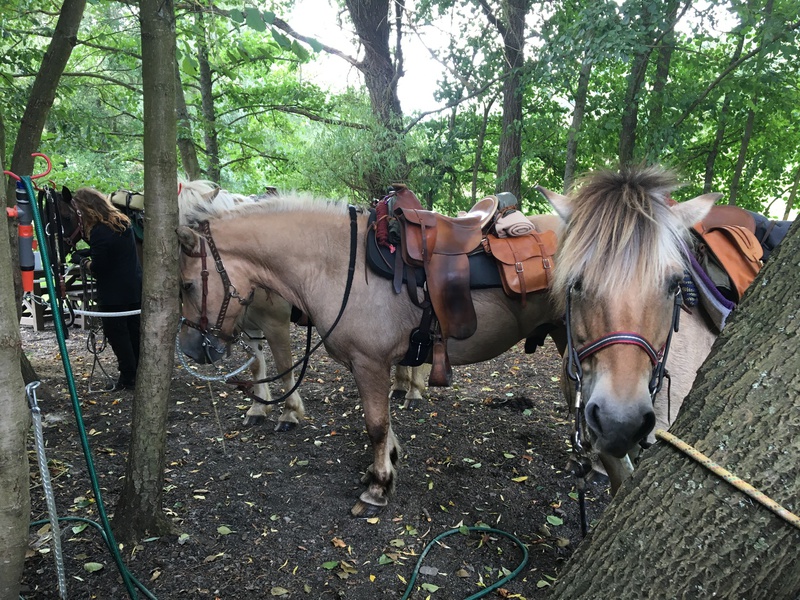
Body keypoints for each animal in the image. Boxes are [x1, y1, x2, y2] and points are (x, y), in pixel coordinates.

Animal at [176, 193, 564, 517]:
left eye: (187, 285)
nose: (191, 348)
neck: (340, 267)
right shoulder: (371, 365)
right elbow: (385, 422)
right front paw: (385, 466)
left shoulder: (369, 363)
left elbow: (376, 425)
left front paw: (378, 487)